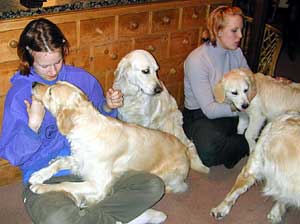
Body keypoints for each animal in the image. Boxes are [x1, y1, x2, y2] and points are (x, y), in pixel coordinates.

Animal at [29, 81, 190, 209]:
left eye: (50, 91)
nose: (34, 83)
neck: (87, 127)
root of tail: (184, 149)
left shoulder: (99, 182)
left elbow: (66, 184)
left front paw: (41, 187)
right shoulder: (80, 160)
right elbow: (59, 163)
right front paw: (39, 174)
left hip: (166, 177)